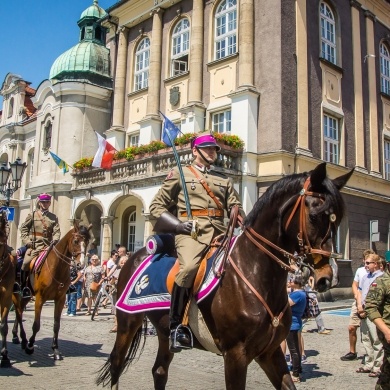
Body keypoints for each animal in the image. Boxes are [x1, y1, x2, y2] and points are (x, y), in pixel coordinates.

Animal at [11, 221, 91, 362]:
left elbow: (56, 325)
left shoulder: (60, 299)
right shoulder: (40, 298)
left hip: (27, 295)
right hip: (16, 293)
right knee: (18, 311)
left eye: (87, 242)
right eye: (76, 241)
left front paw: (55, 350)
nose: (80, 265)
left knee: (19, 310)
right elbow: (36, 325)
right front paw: (30, 346)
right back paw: (22, 340)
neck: (57, 267)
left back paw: (18, 337)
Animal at [96, 163, 354, 388]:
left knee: (159, 371)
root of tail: (137, 254)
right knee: (116, 365)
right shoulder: (235, 356)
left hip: (162, 331)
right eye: (315, 215)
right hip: (127, 322)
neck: (254, 271)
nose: (326, 277)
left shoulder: (270, 353)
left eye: (338, 220)